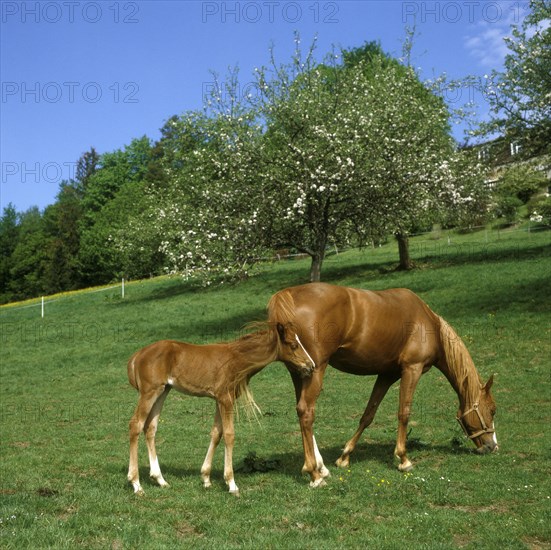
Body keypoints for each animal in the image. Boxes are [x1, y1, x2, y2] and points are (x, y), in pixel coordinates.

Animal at [126, 326, 314, 498]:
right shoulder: (226, 399)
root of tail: (138, 355)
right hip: (149, 392)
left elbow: (216, 433)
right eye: (293, 345)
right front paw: (231, 483)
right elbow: (229, 435)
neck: (238, 358)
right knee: (136, 424)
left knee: (150, 428)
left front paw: (206, 478)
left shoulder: (219, 400)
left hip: (163, 391)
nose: (311, 366)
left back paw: (160, 479)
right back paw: (136, 484)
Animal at [268, 286, 500, 490]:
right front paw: (404, 459)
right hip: (316, 370)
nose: (492, 446)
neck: (428, 322)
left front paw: (344, 457)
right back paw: (314, 474)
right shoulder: (412, 369)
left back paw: (321, 467)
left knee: (301, 411)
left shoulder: (387, 375)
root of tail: (288, 295)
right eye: (492, 410)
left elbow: (368, 414)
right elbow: (404, 413)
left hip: (301, 372)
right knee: (306, 412)